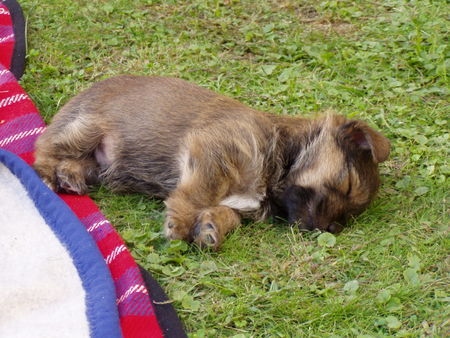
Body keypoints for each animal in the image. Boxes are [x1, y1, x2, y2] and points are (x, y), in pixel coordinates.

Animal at [32, 77, 390, 251]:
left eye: (347, 217)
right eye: (346, 184)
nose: (327, 230)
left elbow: (228, 214)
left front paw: (211, 227)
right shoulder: (212, 152)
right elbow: (196, 194)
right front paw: (179, 224)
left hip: (99, 161)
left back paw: (70, 174)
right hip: (88, 128)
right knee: (41, 149)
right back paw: (50, 175)